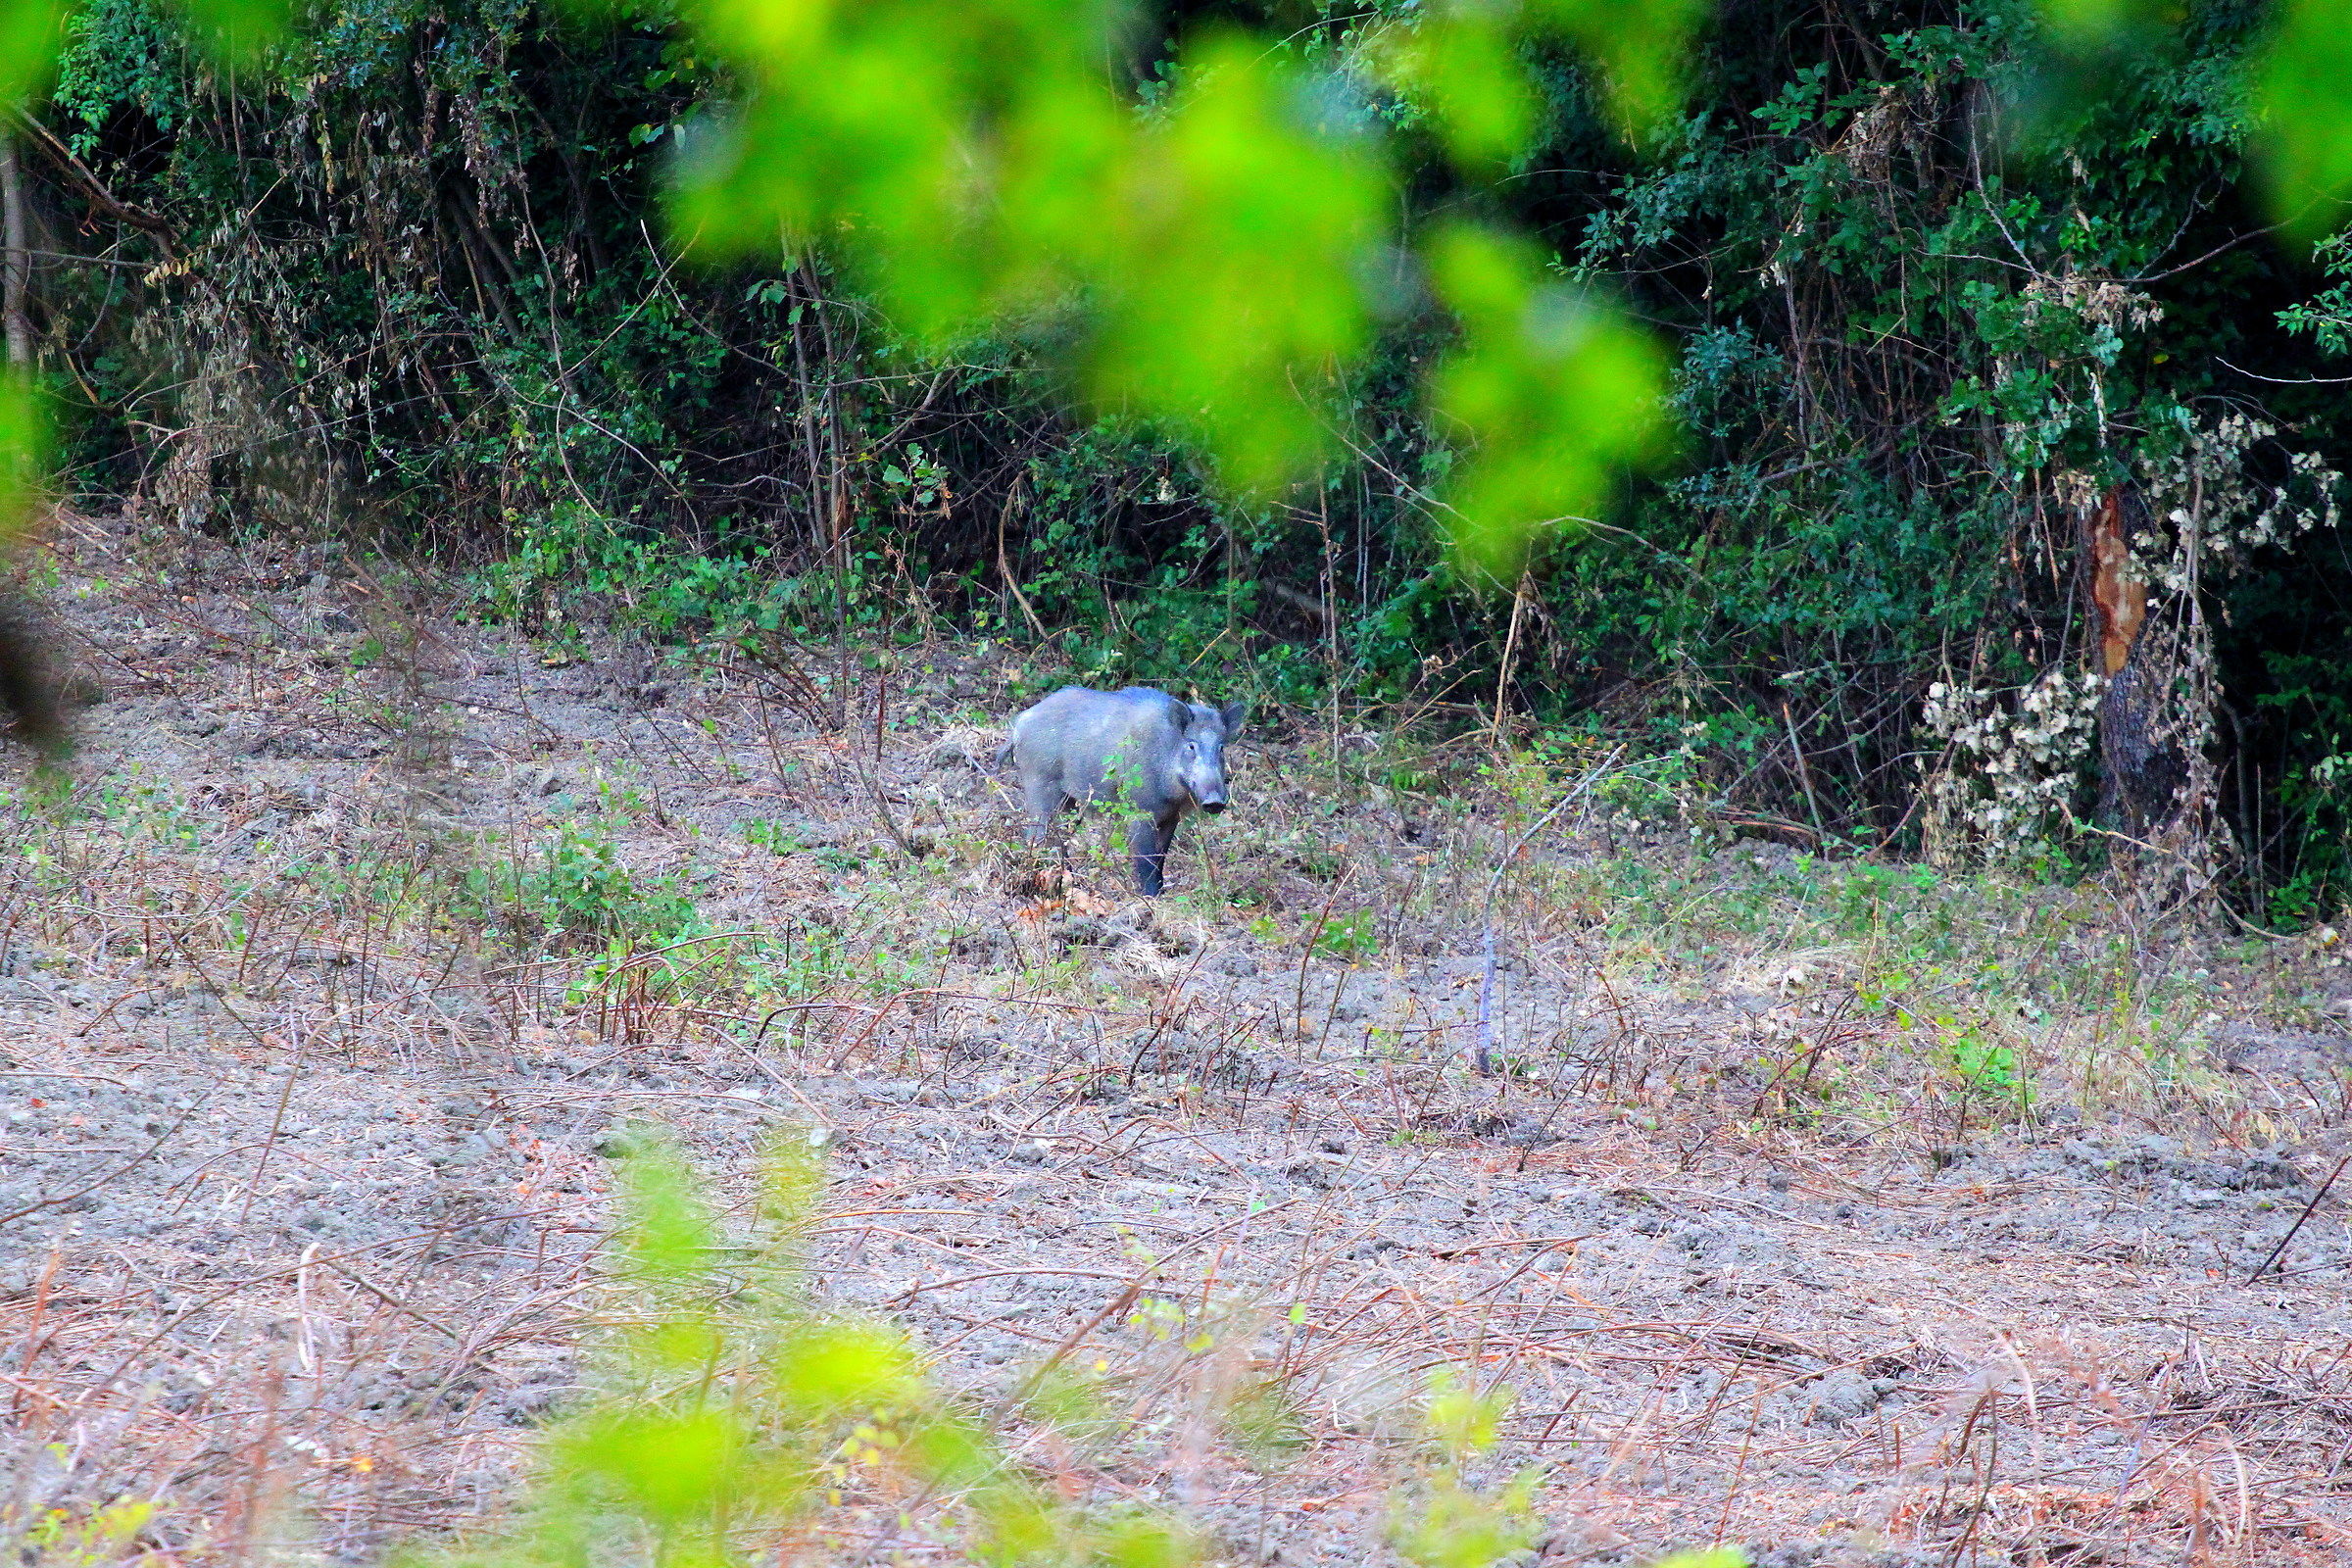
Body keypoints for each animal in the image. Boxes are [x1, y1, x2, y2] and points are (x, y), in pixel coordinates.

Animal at [1005, 686, 1248, 896]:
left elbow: (1161, 856)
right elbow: (1145, 859)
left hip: (1069, 801)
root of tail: (1019, 723)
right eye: (1191, 745)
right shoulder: (1140, 811)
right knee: (1037, 835)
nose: (1215, 802)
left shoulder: (1171, 817)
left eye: (1221, 747)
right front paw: (1150, 897)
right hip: (1039, 785)